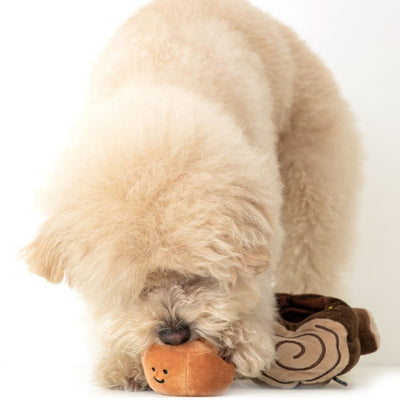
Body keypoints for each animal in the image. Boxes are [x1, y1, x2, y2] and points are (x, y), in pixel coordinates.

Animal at [24, 0, 362, 390]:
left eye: (199, 275)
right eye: (132, 286)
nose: (173, 334)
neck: (163, 82)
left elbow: (254, 287)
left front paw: (246, 341)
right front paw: (122, 361)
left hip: (314, 175)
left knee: (311, 255)